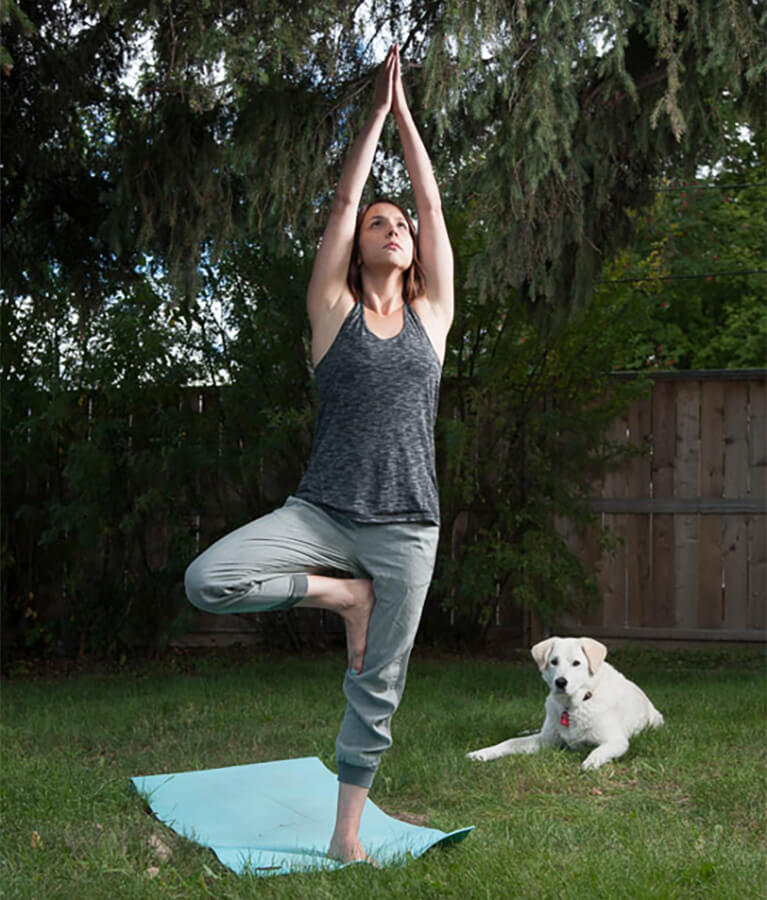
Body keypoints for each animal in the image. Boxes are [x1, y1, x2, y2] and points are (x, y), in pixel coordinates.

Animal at [472, 636, 664, 768]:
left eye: (576, 663)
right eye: (553, 662)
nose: (560, 682)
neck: (575, 704)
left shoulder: (616, 741)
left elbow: (599, 750)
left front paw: (591, 762)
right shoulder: (546, 740)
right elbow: (510, 742)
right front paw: (482, 753)